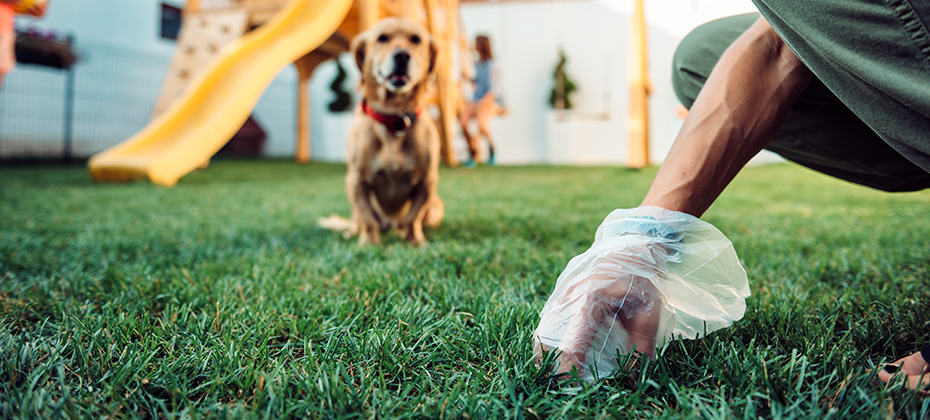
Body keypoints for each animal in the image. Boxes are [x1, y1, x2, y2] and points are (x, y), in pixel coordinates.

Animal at [320, 17, 446, 246]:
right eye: (382, 38)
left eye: (416, 39)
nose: (402, 56)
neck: (394, 117)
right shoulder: (356, 181)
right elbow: (368, 218)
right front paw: (369, 244)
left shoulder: (427, 182)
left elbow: (412, 218)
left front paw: (415, 242)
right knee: (359, 221)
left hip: (436, 207)